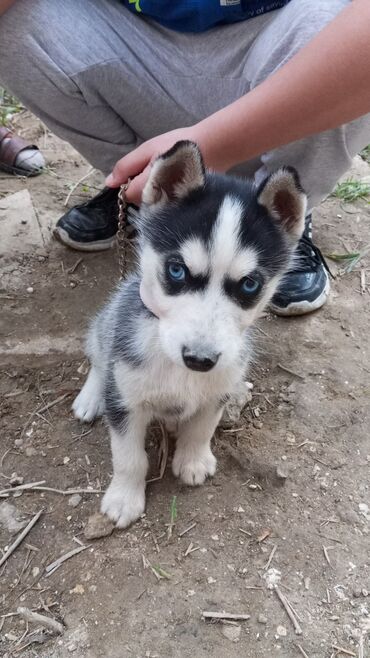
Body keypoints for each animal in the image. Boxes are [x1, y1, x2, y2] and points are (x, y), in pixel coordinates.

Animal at [73, 141, 306, 524]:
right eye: (177, 270)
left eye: (250, 284)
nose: (199, 359)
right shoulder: (126, 401)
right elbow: (129, 457)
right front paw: (124, 498)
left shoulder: (216, 391)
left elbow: (201, 428)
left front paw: (193, 460)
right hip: (107, 323)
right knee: (99, 356)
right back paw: (91, 396)